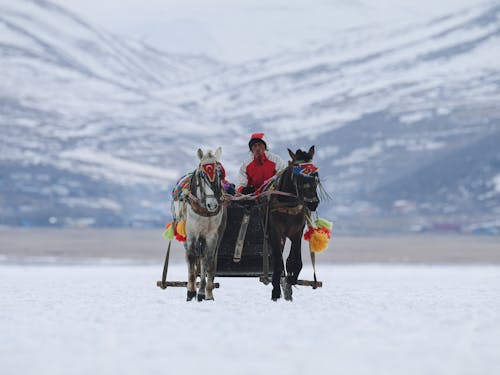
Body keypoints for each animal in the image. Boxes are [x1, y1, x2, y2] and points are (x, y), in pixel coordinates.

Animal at [174, 148, 227, 302]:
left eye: (219, 172)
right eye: (202, 174)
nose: (213, 204)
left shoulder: (212, 235)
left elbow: (208, 261)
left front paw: (208, 294)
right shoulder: (192, 233)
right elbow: (192, 258)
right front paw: (191, 292)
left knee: (203, 258)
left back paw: (202, 292)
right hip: (186, 236)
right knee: (190, 257)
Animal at [266, 147, 320, 302]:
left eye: (315, 174)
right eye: (297, 176)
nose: (312, 202)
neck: (287, 205)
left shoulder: (297, 232)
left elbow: (295, 261)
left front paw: (291, 280)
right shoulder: (275, 231)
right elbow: (278, 263)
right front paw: (276, 292)